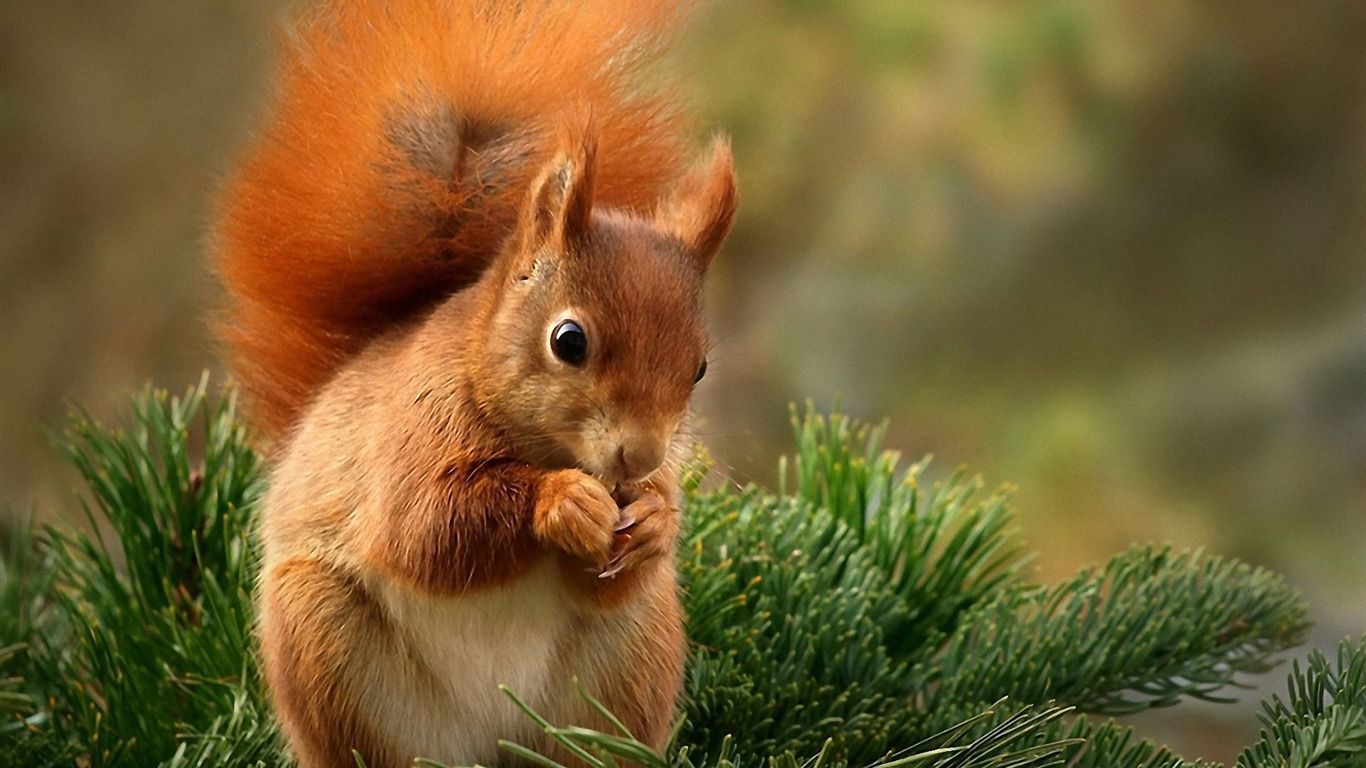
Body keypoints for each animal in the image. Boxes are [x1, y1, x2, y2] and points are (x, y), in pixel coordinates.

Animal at [213, 1, 736, 766]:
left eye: (699, 367)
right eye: (568, 341)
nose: (639, 458)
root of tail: (493, 742)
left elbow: (609, 576)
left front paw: (653, 523)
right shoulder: (411, 434)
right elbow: (425, 529)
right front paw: (561, 502)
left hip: (630, 660)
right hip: (323, 642)